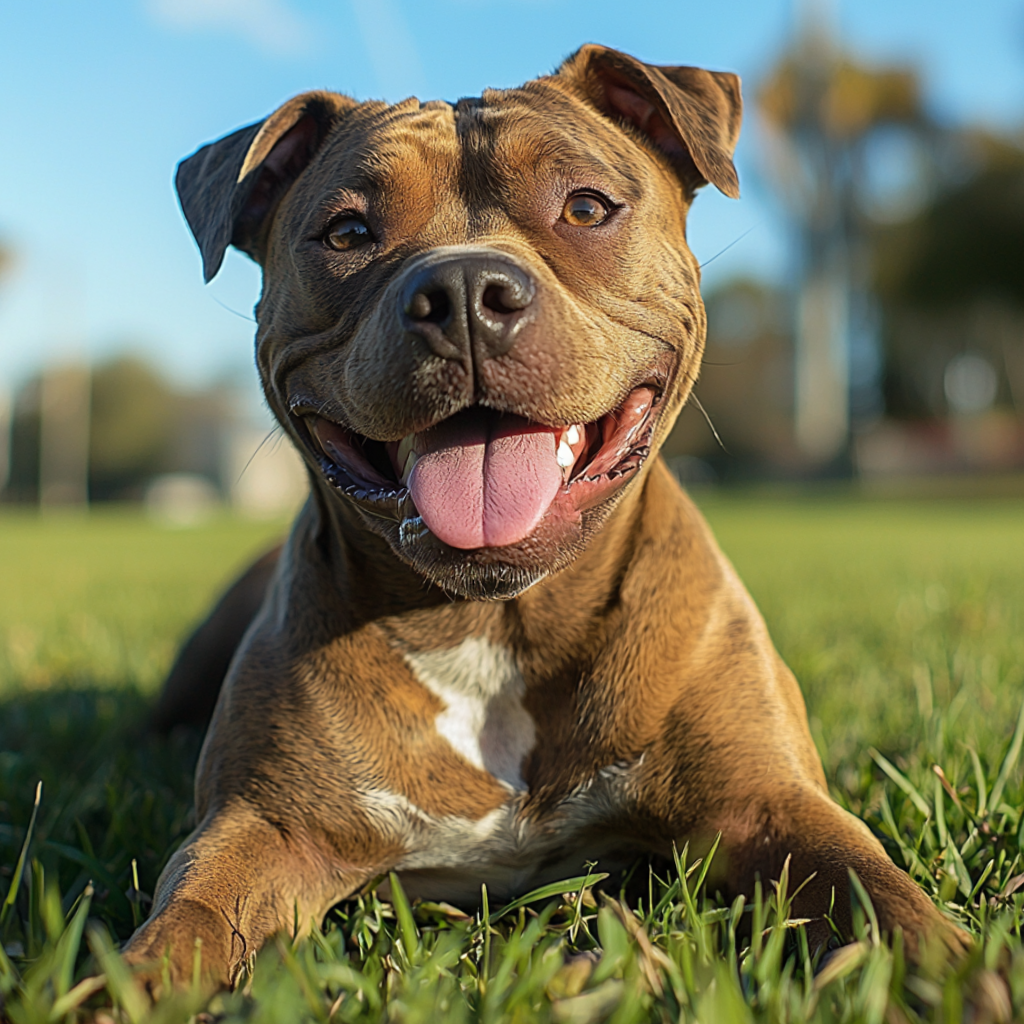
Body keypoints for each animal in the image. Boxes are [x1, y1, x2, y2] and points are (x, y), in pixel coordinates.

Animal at [123, 44, 962, 987]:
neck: (494, 624)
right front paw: (125, 989)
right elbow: (187, 924)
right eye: (346, 233)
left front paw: (965, 976)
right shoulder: (265, 827)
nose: (461, 288)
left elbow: (887, 899)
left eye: (586, 207)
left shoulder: (770, 804)